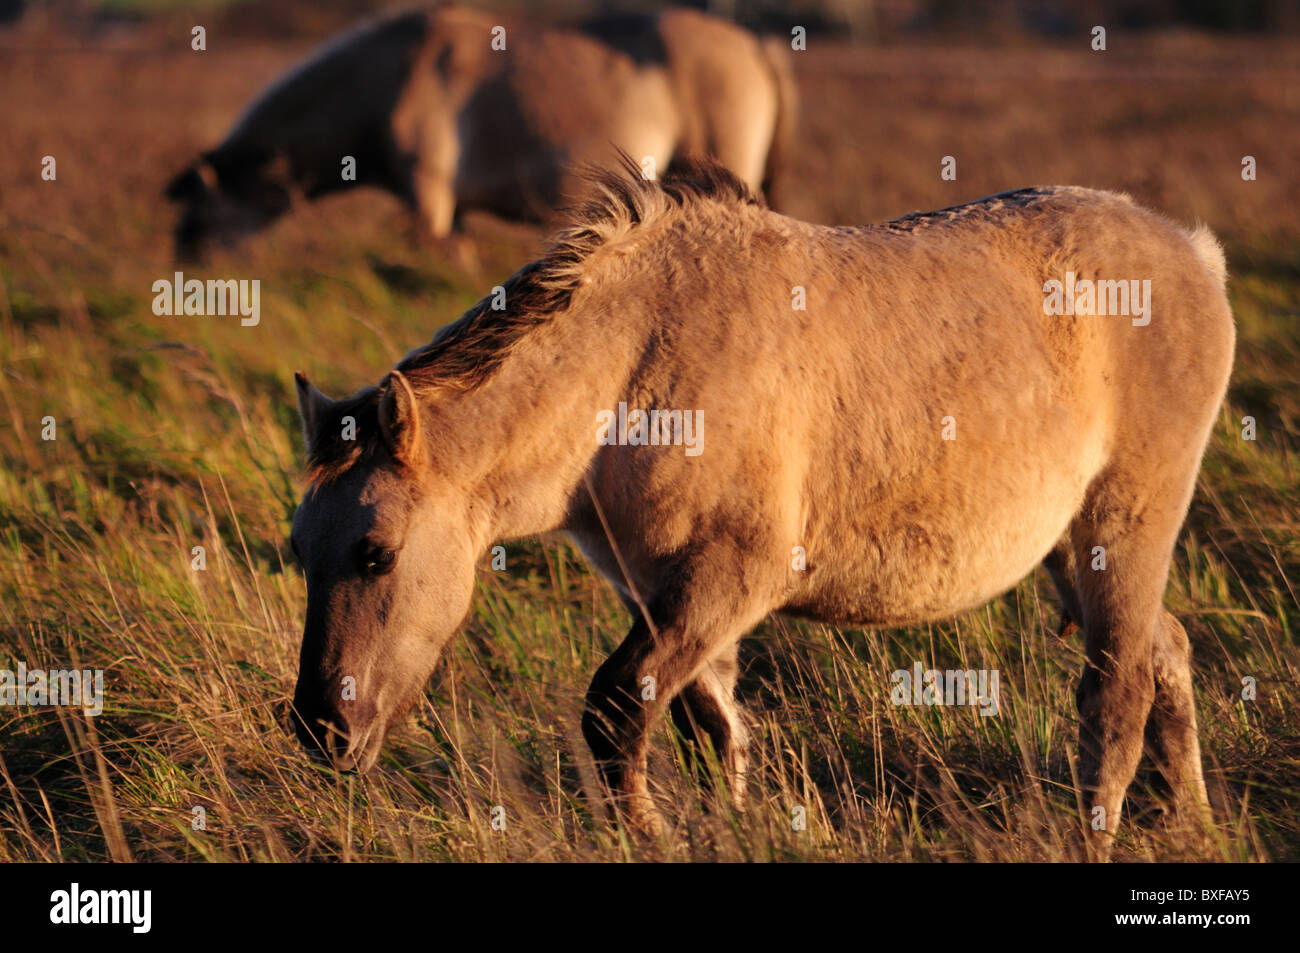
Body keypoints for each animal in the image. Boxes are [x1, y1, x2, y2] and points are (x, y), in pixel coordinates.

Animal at [162, 4, 790, 256]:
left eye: (199, 213)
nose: (185, 258)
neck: (382, 76)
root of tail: (755, 45)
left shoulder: (429, 200)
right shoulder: (452, 212)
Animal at [289, 154, 1232, 852]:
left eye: (376, 552)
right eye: (302, 553)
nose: (319, 729)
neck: (634, 363)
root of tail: (1194, 251)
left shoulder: (730, 578)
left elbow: (615, 708)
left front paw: (649, 834)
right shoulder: (667, 597)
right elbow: (711, 732)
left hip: (1123, 529)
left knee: (1117, 694)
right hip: (1074, 549)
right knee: (1165, 654)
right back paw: (1189, 825)